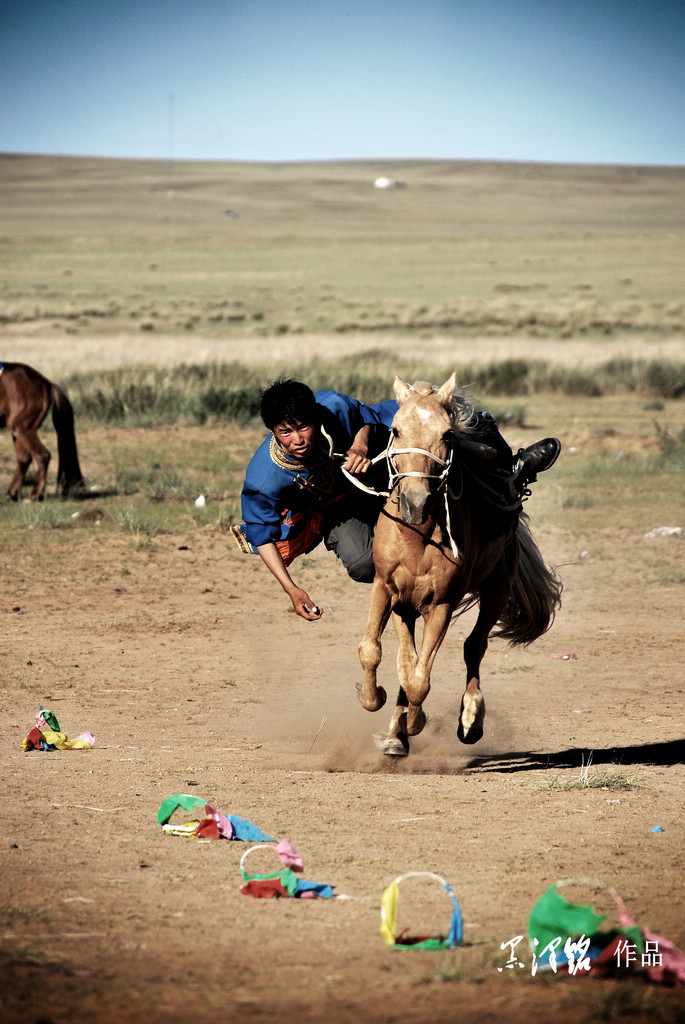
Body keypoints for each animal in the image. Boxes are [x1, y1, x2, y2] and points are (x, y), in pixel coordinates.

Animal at [0, 362, 86, 501]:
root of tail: (47, 383)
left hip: (21, 427)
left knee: (42, 455)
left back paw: (34, 495)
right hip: (18, 430)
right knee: (24, 459)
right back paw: (11, 494)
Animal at [358, 372, 561, 757]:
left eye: (447, 434)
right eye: (395, 430)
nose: (415, 503)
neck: (417, 537)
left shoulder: (442, 604)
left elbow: (420, 680)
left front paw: (415, 722)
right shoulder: (386, 590)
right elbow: (377, 654)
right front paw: (376, 702)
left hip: (497, 590)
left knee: (474, 647)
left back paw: (470, 719)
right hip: (409, 605)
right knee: (411, 660)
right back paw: (397, 733)